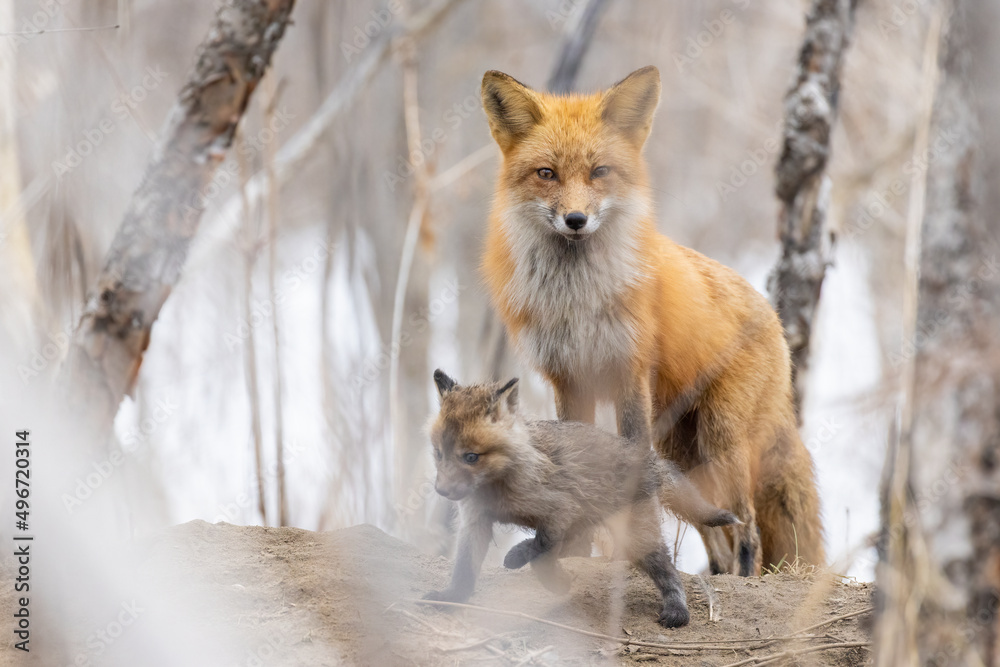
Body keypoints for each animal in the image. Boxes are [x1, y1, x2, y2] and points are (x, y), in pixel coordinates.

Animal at [422, 369, 739, 628]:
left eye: (471, 457)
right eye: (438, 453)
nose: (443, 491)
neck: (499, 484)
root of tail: (644, 457)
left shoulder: (559, 509)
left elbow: (538, 547)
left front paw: (524, 561)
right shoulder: (477, 521)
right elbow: (466, 568)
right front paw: (452, 598)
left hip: (635, 537)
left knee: (668, 570)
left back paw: (677, 610)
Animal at [479, 66, 824, 576]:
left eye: (600, 172)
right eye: (547, 174)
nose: (575, 219)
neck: (576, 297)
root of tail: (773, 316)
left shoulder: (629, 371)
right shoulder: (569, 378)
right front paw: (576, 554)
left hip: (720, 439)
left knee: (748, 529)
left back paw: (744, 579)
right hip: (681, 450)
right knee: (717, 534)